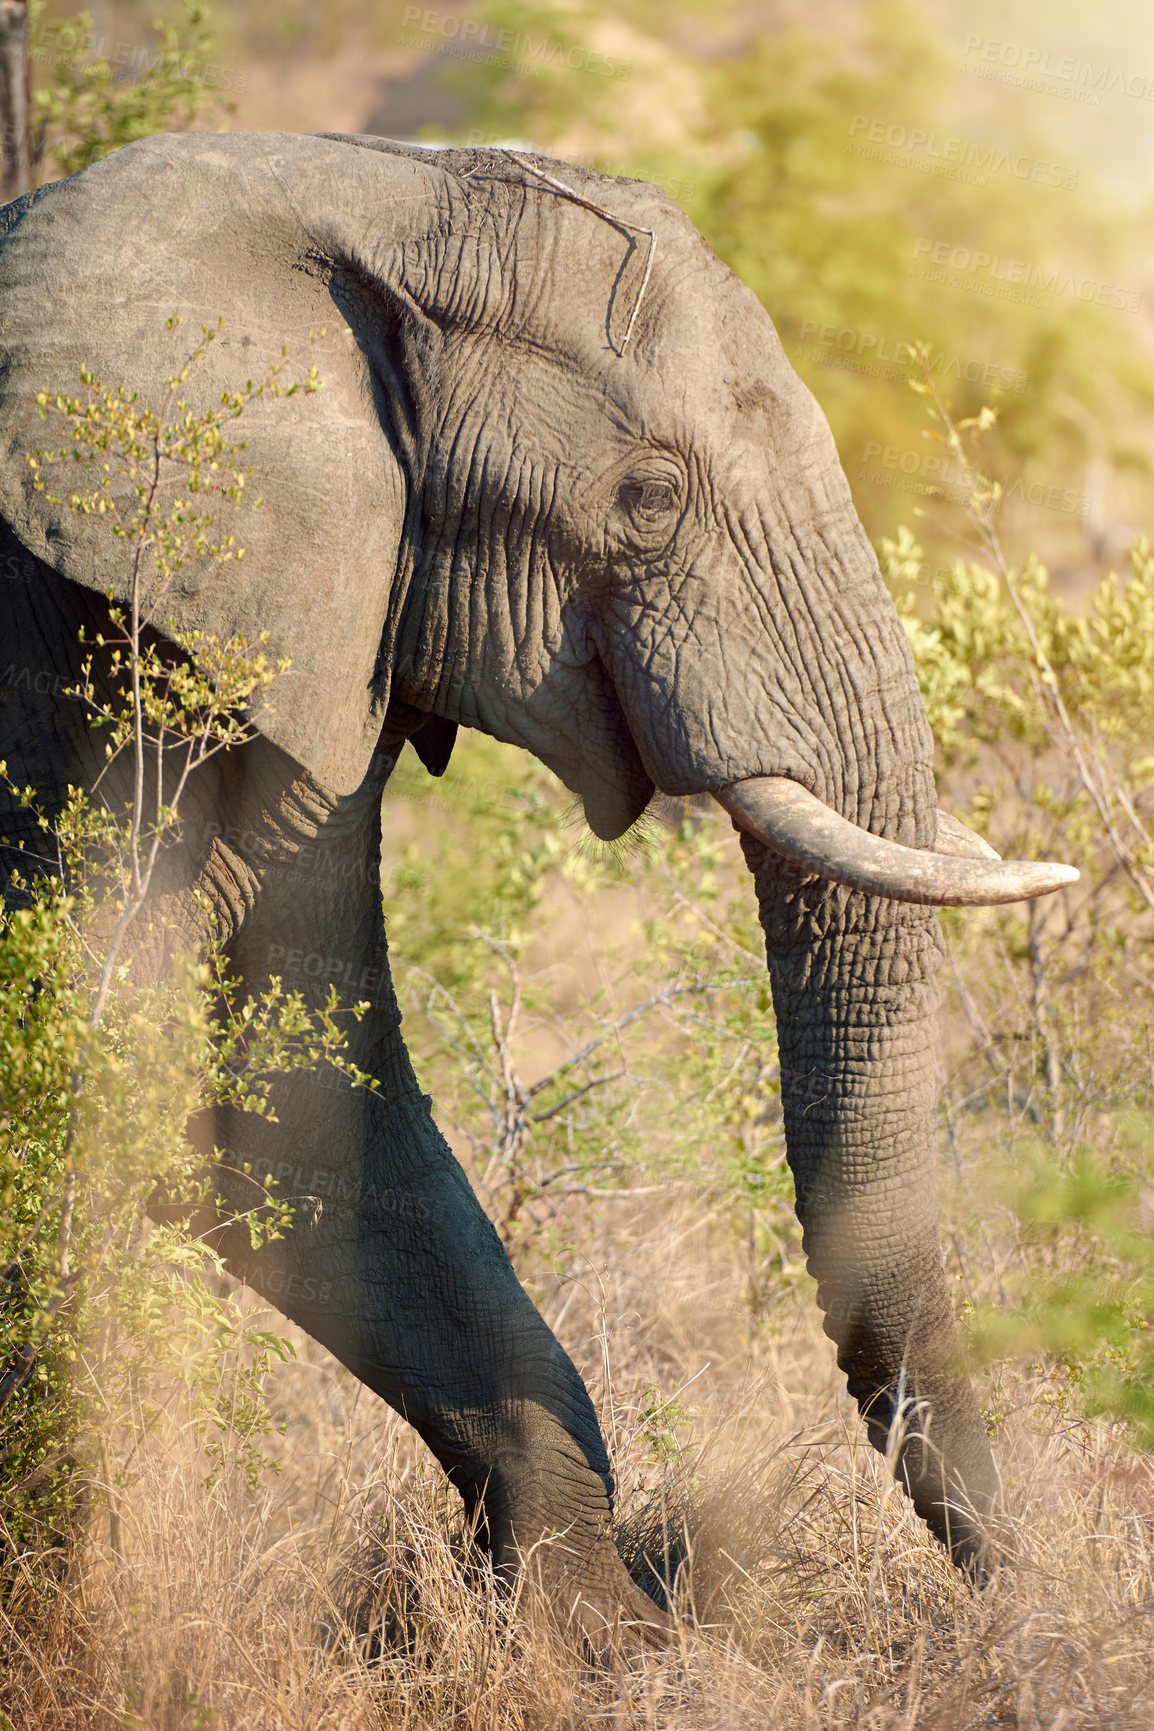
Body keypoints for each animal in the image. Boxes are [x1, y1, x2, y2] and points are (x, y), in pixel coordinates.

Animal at [0, 131, 1072, 1634]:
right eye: (650, 497)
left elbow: (282, 1088)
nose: (1044, 1601)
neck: (365, 201)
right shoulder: (110, 649)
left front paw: (586, 1644)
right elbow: (112, 1081)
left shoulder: (320, 633)